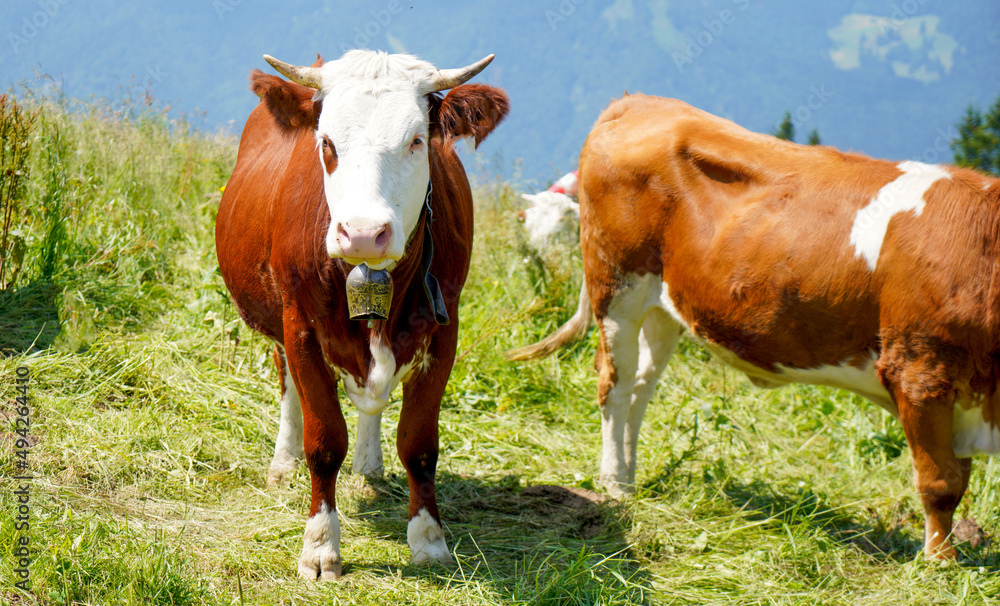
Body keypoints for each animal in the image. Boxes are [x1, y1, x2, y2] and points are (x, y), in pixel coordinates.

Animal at [216, 50, 508, 579]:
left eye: (417, 141)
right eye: (327, 143)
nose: (364, 233)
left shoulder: (444, 330)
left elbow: (419, 444)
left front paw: (428, 540)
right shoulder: (300, 327)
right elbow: (325, 442)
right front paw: (319, 546)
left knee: (372, 402)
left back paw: (370, 464)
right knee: (287, 382)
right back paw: (283, 460)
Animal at [507, 93, 1000, 559]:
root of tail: (638, 101)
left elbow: (958, 477)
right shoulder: (919, 372)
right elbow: (940, 483)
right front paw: (940, 563)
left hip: (663, 305)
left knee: (641, 387)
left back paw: (629, 478)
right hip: (617, 285)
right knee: (615, 382)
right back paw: (613, 486)